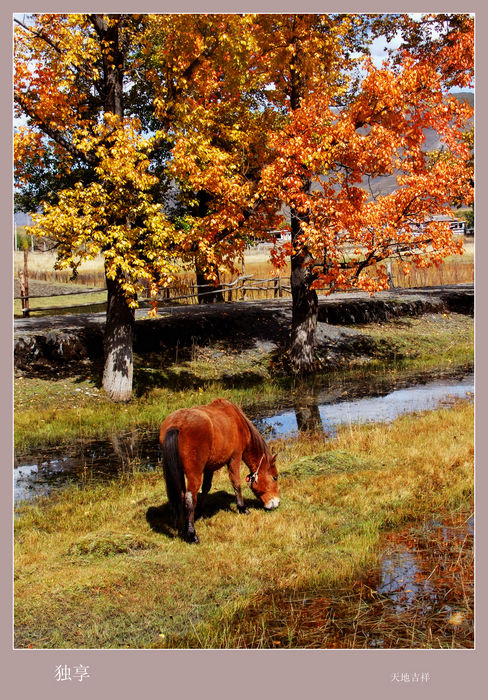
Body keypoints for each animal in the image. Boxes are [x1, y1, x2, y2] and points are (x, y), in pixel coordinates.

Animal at [161, 400, 278, 540]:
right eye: (275, 477)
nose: (276, 502)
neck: (238, 421)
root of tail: (176, 424)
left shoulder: (209, 467)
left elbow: (206, 488)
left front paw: (200, 512)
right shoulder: (235, 458)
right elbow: (236, 483)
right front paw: (242, 508)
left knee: (182, 495)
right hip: (194, 474)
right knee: (189, 497)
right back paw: (192, 534)